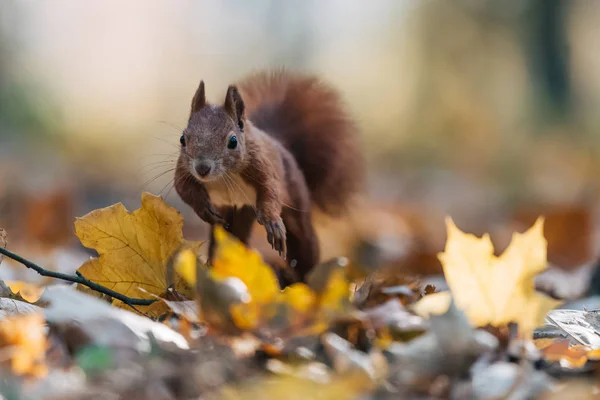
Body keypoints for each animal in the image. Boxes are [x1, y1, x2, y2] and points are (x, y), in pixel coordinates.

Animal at [173, 70, 360, 286]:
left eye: (233, 141)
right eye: (182, 139)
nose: (202, 169)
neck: (224, 176)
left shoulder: (262, 168)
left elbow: (271, 191)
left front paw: (272, 222)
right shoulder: (184, 170)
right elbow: (183, 188)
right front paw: (203, 207)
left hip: (294, 204)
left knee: (303, 243)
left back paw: (300, 278)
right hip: (237, 214)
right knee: (229, 239)